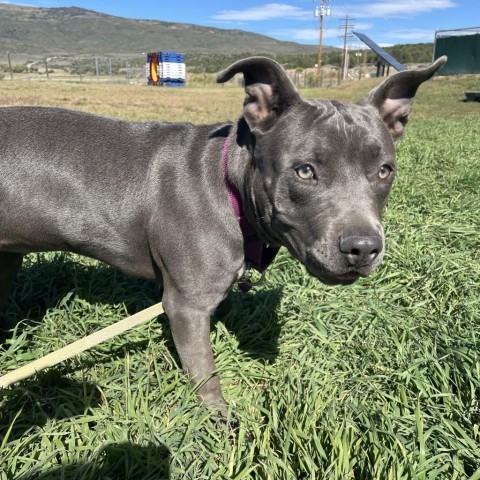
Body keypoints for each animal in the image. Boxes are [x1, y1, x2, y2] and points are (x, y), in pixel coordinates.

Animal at [0, 56, 446, 412]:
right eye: (305, 171)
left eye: (384, 170)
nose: (364, 247)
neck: (229, 187)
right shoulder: (186, 306)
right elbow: (205, 373)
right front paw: (220, 422)